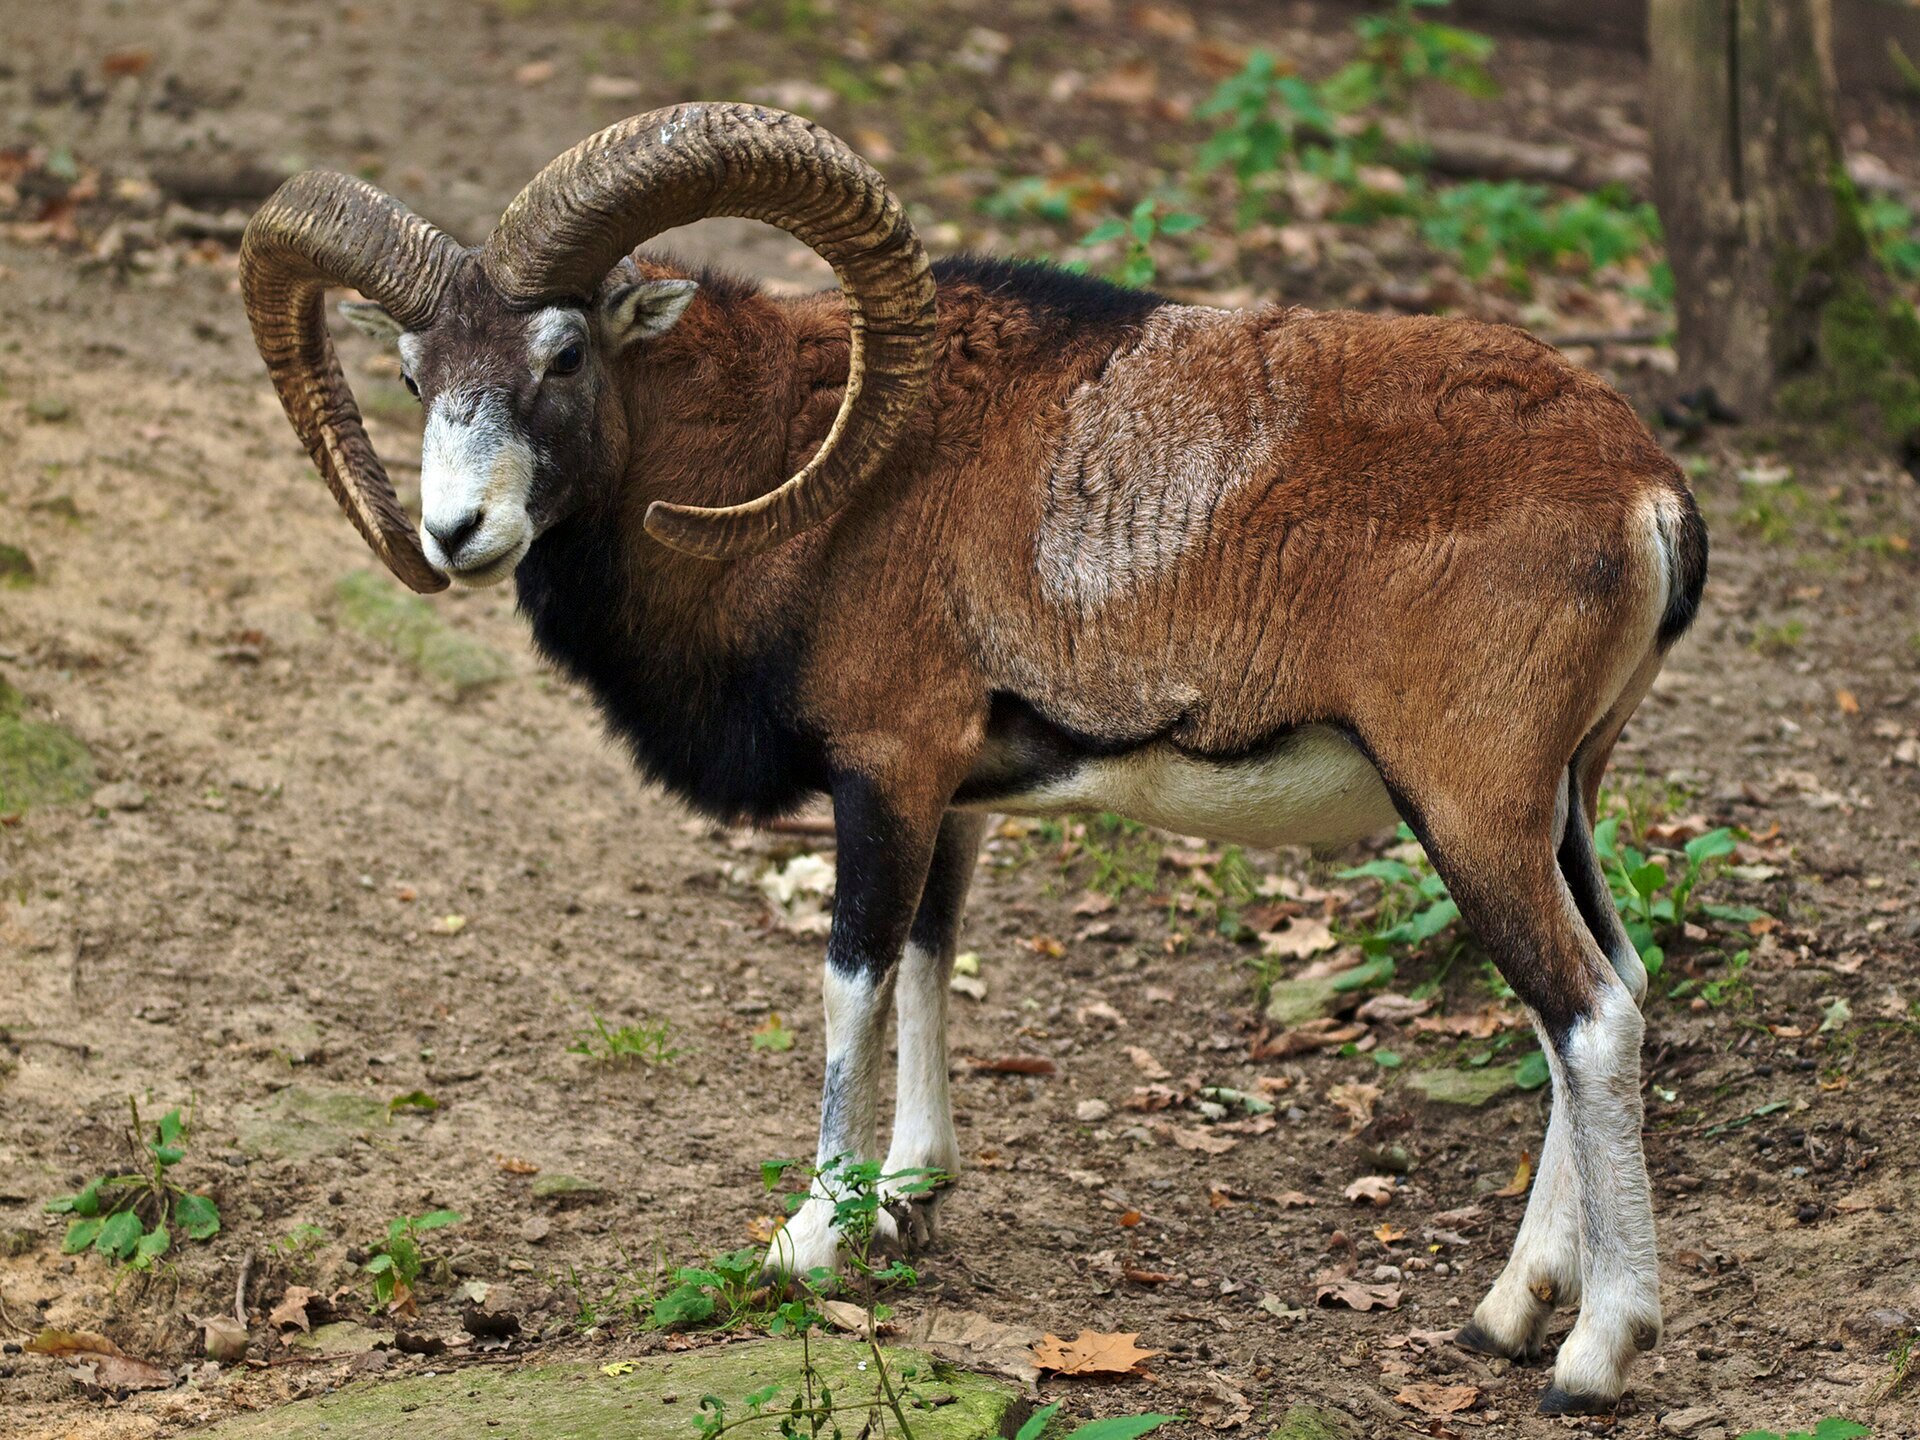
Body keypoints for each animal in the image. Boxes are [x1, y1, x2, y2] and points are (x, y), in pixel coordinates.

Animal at [240, 102, 1707, 1415]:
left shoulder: (885, 774)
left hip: (1468, 808)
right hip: (1558, 807)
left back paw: (1590, 1358)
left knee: (1589, 1015)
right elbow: (931, 966)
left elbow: (853, 982)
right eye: (417, 375)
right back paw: (1507, 1315)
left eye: (562, 353)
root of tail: (1646, 494)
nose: (454, 534)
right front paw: (911, 1202)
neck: (814, 470)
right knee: (1603, 993)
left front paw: (810, 1240)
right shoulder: (952, 801)